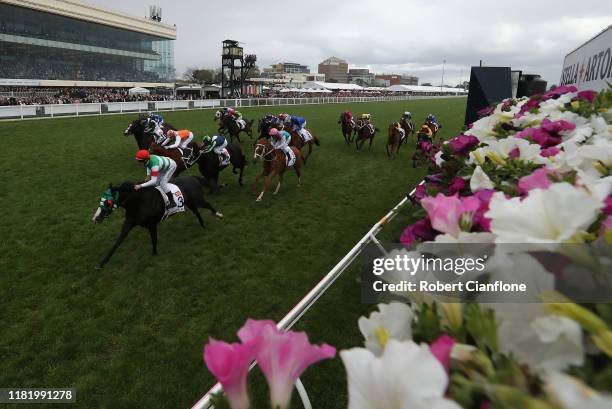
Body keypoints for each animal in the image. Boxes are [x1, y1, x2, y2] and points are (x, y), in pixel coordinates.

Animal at [92, 175, 224, 268]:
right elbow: (118, 242)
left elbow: (154, 239)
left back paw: (218, 214)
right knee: (197, 212)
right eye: (101, 200)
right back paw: (203, 225)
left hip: (197, 200)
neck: (138, 203)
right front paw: (102, 263)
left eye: (107, 202)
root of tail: (192, 178)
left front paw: (154, 254)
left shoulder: (152, 225)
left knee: (208, 205)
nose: (95, 218)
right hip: (191, 203)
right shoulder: (129, 223)